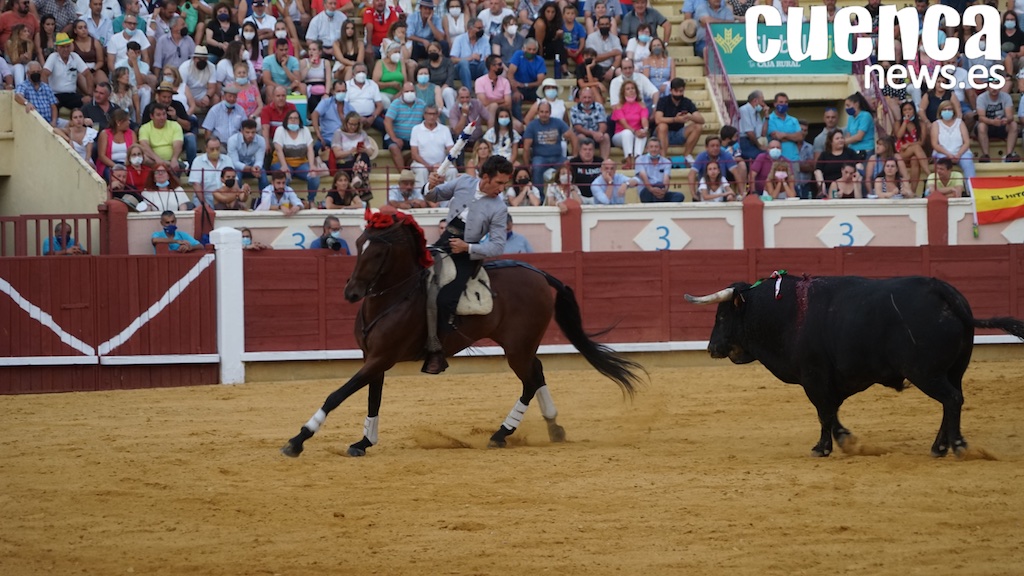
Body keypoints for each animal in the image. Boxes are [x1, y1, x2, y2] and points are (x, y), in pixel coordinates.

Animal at [281, 209, 646, 458]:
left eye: (380, 251)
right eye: (358, 244)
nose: (351, 293)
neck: (394, 296)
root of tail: (540, 274)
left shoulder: (381, 358)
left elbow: (337, 394)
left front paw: (298, 439)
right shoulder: (373, 358)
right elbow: (373, 398)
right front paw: (363, 441)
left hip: (517, 347)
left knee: (529, 381)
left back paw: (501, 434)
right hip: (522, 345)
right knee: (538, 372)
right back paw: (553, 426)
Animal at [685, 273, 1024, 458]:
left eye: (722, 316)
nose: (711, 348)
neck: (784, 311)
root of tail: (946, 294)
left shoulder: (813, 376)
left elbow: (823, 411)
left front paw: (822, 448)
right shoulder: (829, 380)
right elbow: (831, 410)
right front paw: (845, 440)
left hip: (925, 373)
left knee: (952, 400)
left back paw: (957, 446)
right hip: (953, 371)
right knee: (952, 401)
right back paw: (939, 447)